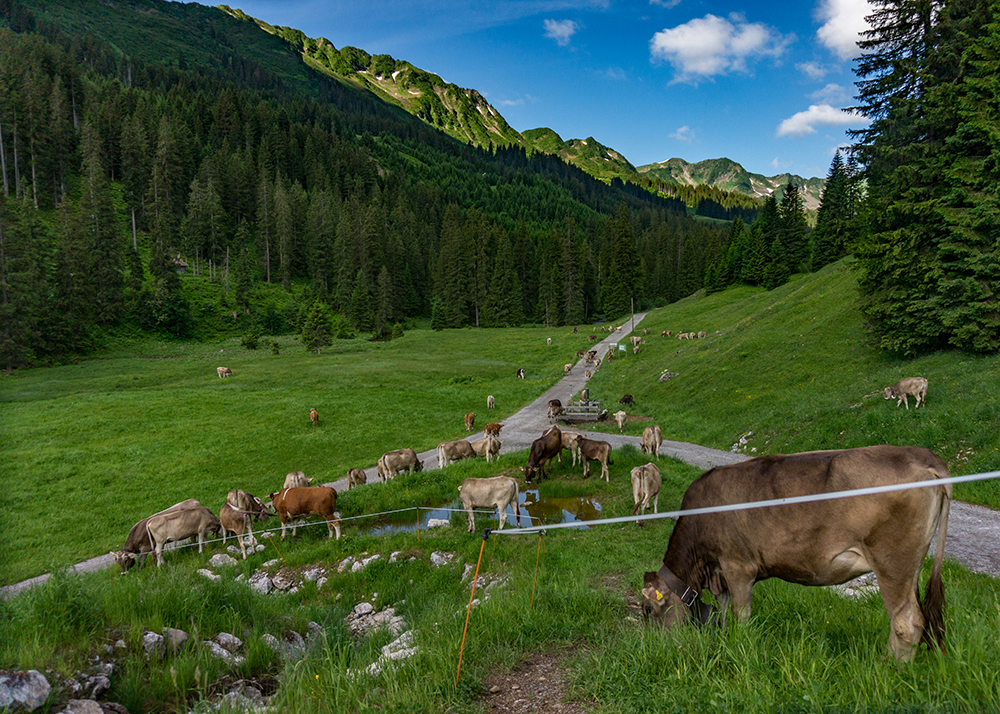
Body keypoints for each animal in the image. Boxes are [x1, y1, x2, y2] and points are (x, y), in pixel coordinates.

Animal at [640, 444, 952, 660]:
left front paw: (740, 645)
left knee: (906, 623)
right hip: (912, 567)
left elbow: (741, 616)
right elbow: (725, 612)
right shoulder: (721, 573)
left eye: (647, 610)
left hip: (892, 563)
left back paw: (886, 667)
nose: (655, 647)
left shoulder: (738, 566)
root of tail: (922, 455)